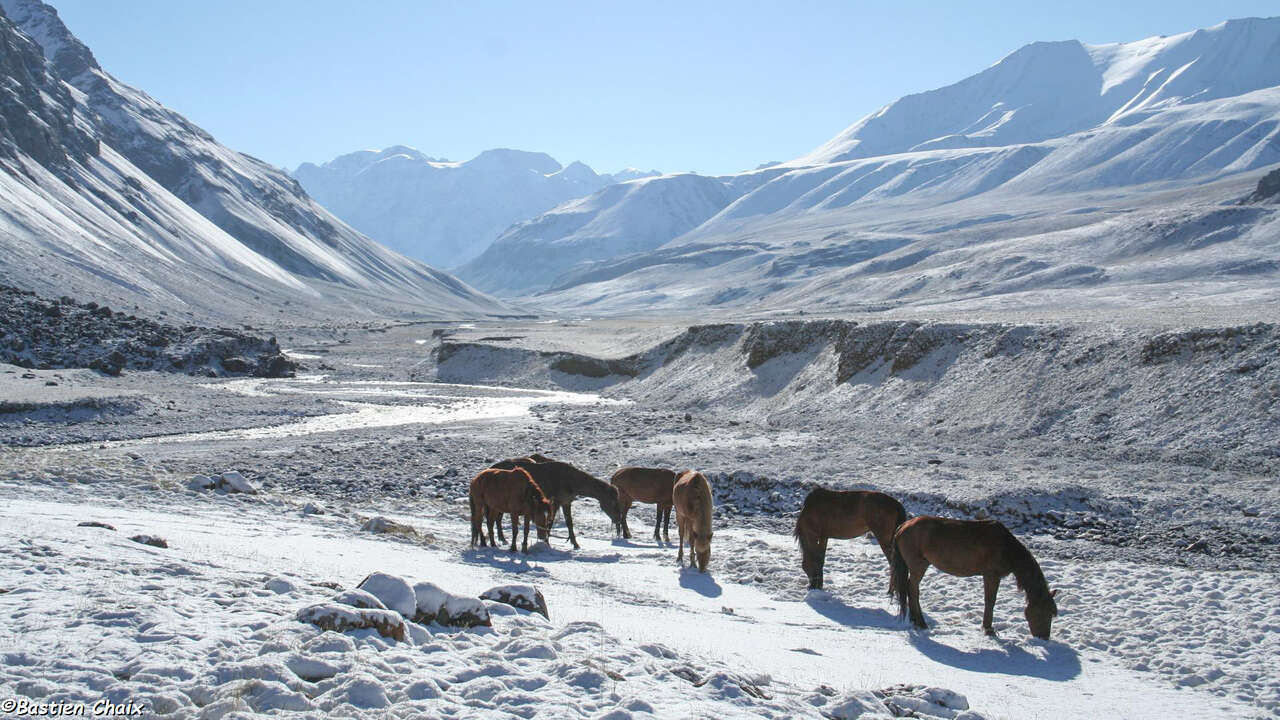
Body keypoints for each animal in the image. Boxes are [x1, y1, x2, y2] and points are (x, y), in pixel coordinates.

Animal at [488, 453, 619, 548]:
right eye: (612, 501)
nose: (618, 520)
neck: (573, 483)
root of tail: (490, 467)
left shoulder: (566, 502)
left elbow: (569, 522)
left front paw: (575, 543)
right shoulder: (555, 501)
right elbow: (550, 522)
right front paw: (546, 541)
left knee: (498, 518)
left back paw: (502, 538)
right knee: (497, 517)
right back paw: (502, 539)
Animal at [890, 512, 1059, 635]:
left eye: (1052, 613)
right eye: (1044, 613)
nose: (1044, 637)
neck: (1006, 548)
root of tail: (902, 526)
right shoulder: (991, 575)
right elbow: (990, 600)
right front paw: (988, 629)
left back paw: (915, 619)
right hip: (918, 565)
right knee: (913, 589)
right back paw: (920, 622)